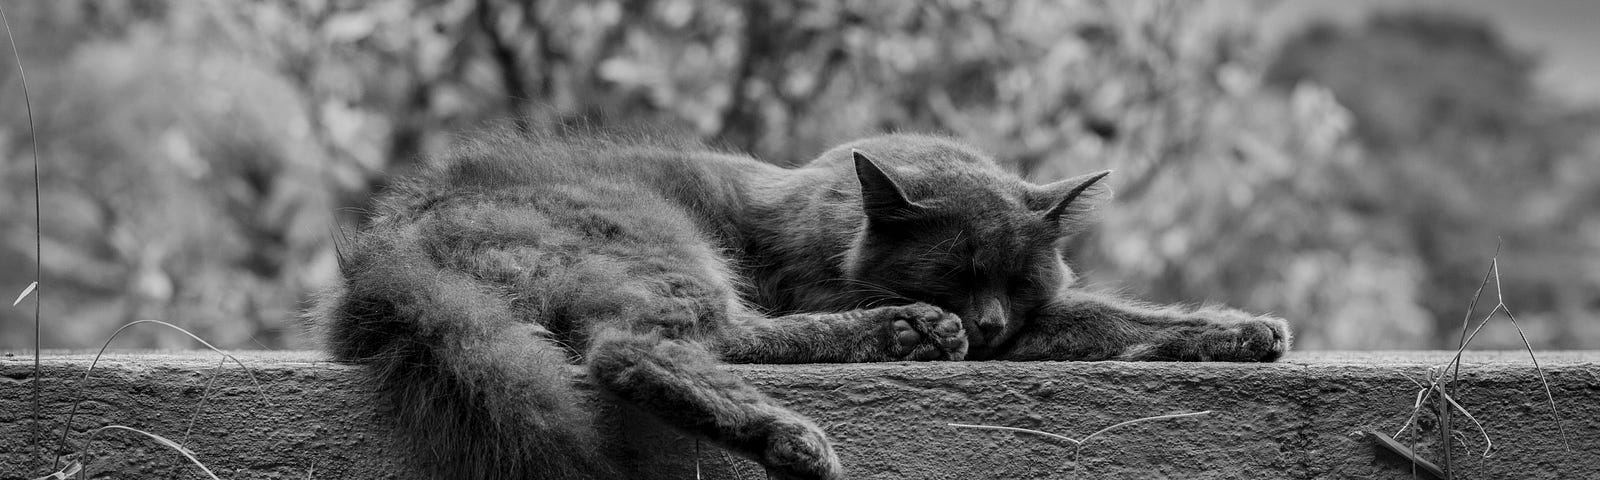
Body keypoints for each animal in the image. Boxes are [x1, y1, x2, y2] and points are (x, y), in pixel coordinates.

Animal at [312, 131, 1286, 480]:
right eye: (955, 273)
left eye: (1014, 281)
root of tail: (386, 244)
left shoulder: (1044, 323)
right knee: (640, 348)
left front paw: (1242, 330)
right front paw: (920, 319)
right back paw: (833, 403)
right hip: (666, 246)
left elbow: (1129, 321)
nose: (984, 323)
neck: (834, 218)